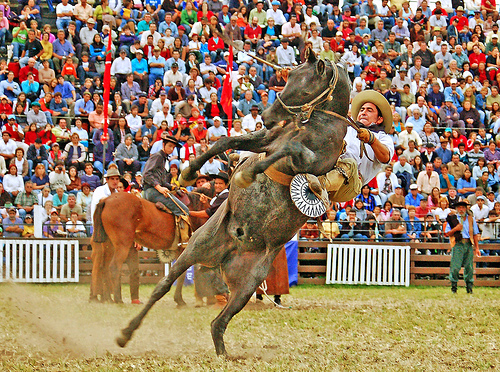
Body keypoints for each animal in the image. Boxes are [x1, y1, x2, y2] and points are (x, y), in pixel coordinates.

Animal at [117, 50, 352, 356]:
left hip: (248, 283)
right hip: (194, 248)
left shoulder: (307, 159)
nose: (266, 115)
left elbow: (289, 148)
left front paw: (246, 173)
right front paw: (189, 171)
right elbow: (227, 141)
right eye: (289, 75)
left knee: (219, 319)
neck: (317, 124)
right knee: (165, 286)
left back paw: (221, 352)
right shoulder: (266, 139)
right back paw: (126, 333)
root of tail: (229, 250)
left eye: (304, 86)